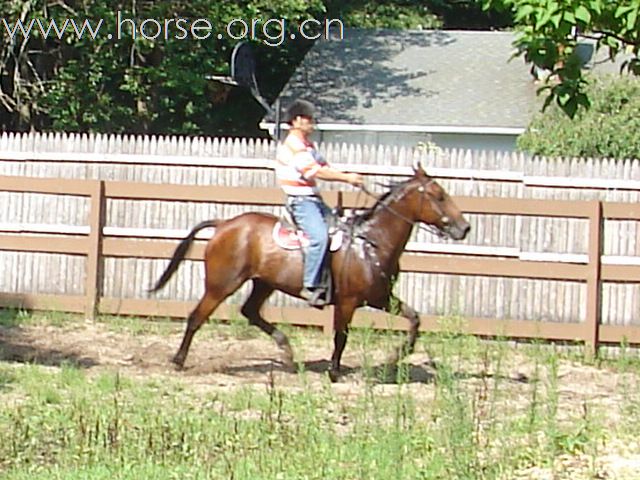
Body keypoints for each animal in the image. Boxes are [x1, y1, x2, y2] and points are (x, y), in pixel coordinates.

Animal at [150, 166, 470, 382]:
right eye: (439, 196)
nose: (464, 228)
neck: (370, 243)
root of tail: (224, 224)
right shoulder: (348, 302)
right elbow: (341, 337)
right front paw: (334, 371)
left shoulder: (381, 298)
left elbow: (415, 320)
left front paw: (395, 357)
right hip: (221, 285)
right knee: (197, 317)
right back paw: (178, 360)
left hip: (263, 283)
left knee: (250, 311)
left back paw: (288, 354)